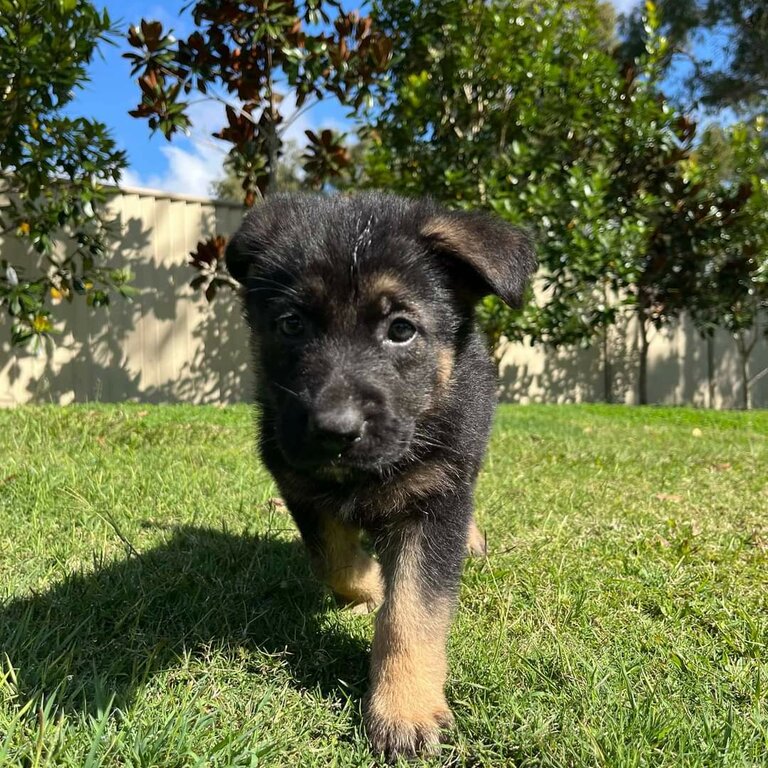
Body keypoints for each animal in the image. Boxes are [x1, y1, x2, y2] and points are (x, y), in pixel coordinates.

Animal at [225, 194, 536, 760]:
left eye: (401, 329)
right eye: (291, 325)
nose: (335, 431)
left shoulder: (436, 501)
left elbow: (412, 613)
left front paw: (404, 710)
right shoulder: (300, 484)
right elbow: (334, 564)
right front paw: (370, 585)